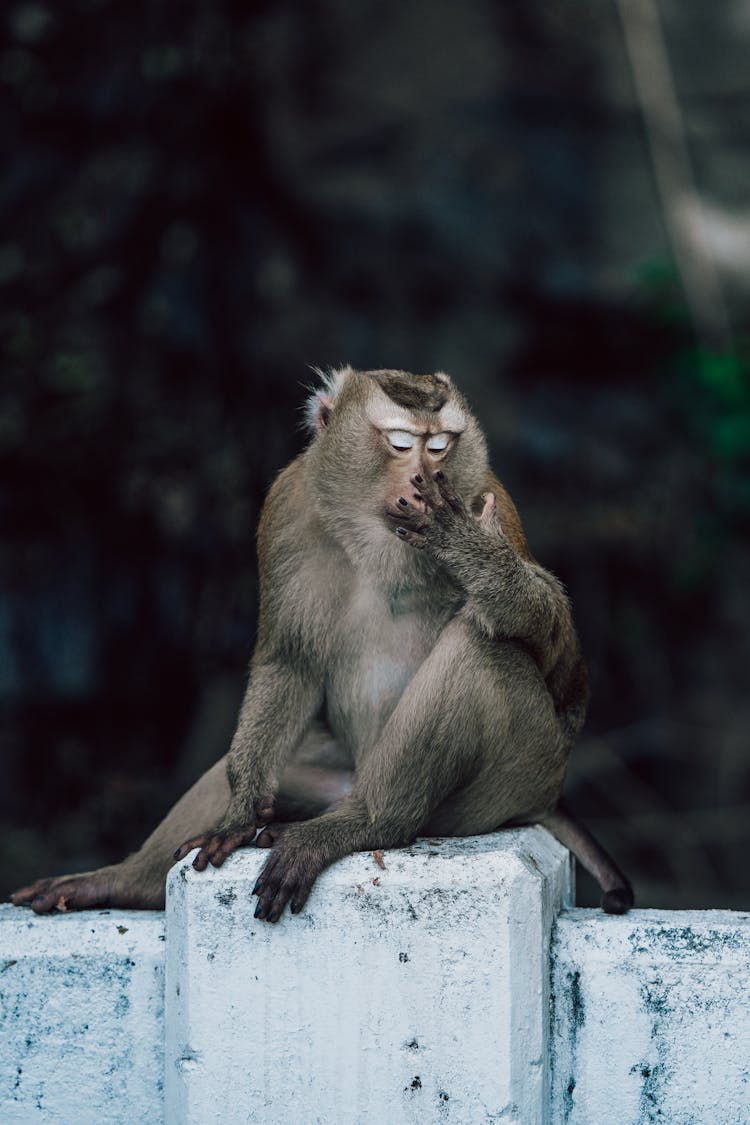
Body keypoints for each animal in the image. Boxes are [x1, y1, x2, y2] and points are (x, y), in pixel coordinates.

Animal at [11, 369, 634, 922]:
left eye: (440, 446)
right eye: (401, 443)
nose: (424, 478)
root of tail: (547, 796)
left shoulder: (487, 497)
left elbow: (561, 660)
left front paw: (469, 548)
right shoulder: (287, 505)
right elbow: (288, 660)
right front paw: (238, 815)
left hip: (512, 780)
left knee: (485, 652)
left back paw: (368, 825)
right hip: (333, 774)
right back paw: (120, 881)